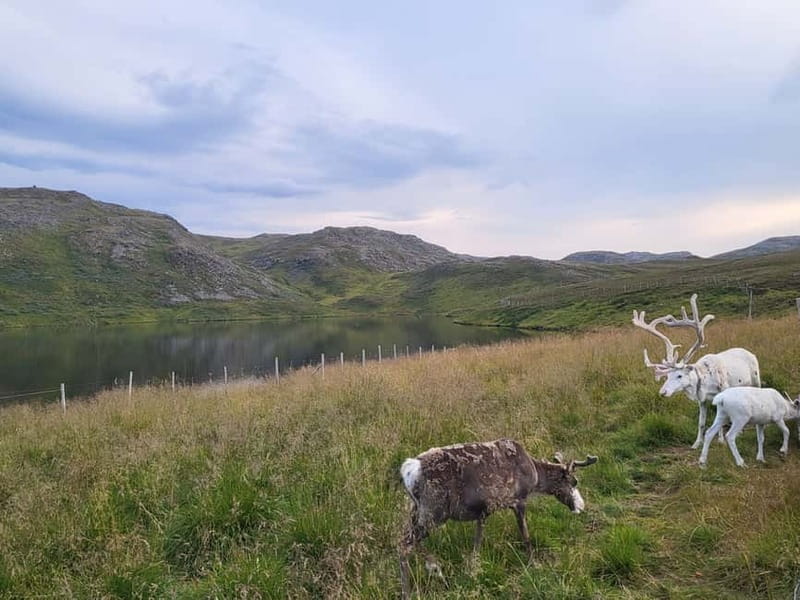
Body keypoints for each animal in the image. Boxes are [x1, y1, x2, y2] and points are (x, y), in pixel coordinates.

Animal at [398, 438, 597, 599]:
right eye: (574, 482)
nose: (581, 506)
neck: (535, 474)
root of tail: (408, 470)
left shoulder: (482, 512)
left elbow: (477, 542)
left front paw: (474, 569)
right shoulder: (519, 500)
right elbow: (525, 535)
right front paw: (533, 564)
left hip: (416, 510)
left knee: (404, 540)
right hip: (434, 513)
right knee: (405, 543)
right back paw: (428, 575)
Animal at [632, 293, 760, 449]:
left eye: (679, 375)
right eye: (666, 376)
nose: (662, 392)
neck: (705, 383)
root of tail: (749, 352)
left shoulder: (721, 394)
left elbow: (719, 421)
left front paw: (721, 440)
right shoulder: (702, 400)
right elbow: (701, 423)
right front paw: (696, 443)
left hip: (756, 378)